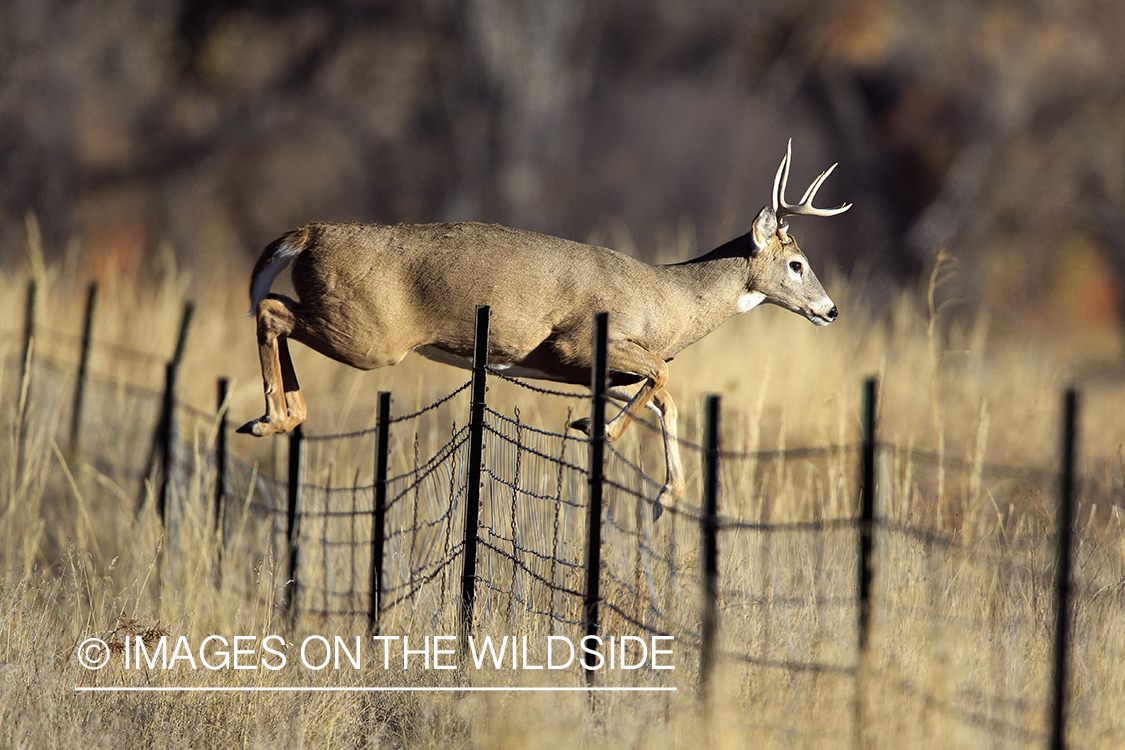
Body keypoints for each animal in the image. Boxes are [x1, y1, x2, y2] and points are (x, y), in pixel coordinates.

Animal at [239, 140, 850, 519]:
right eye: (797, 263)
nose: (831, 310)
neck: (668, 302)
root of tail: (311, 233)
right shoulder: (577, 343)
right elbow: (660, 378)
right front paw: (594, 430)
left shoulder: (593, 368)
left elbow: (666, 397)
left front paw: (666, 496)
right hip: (370, 335)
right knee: (270, 310)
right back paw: (272, 417)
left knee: (273, 307)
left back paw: (282, 414)